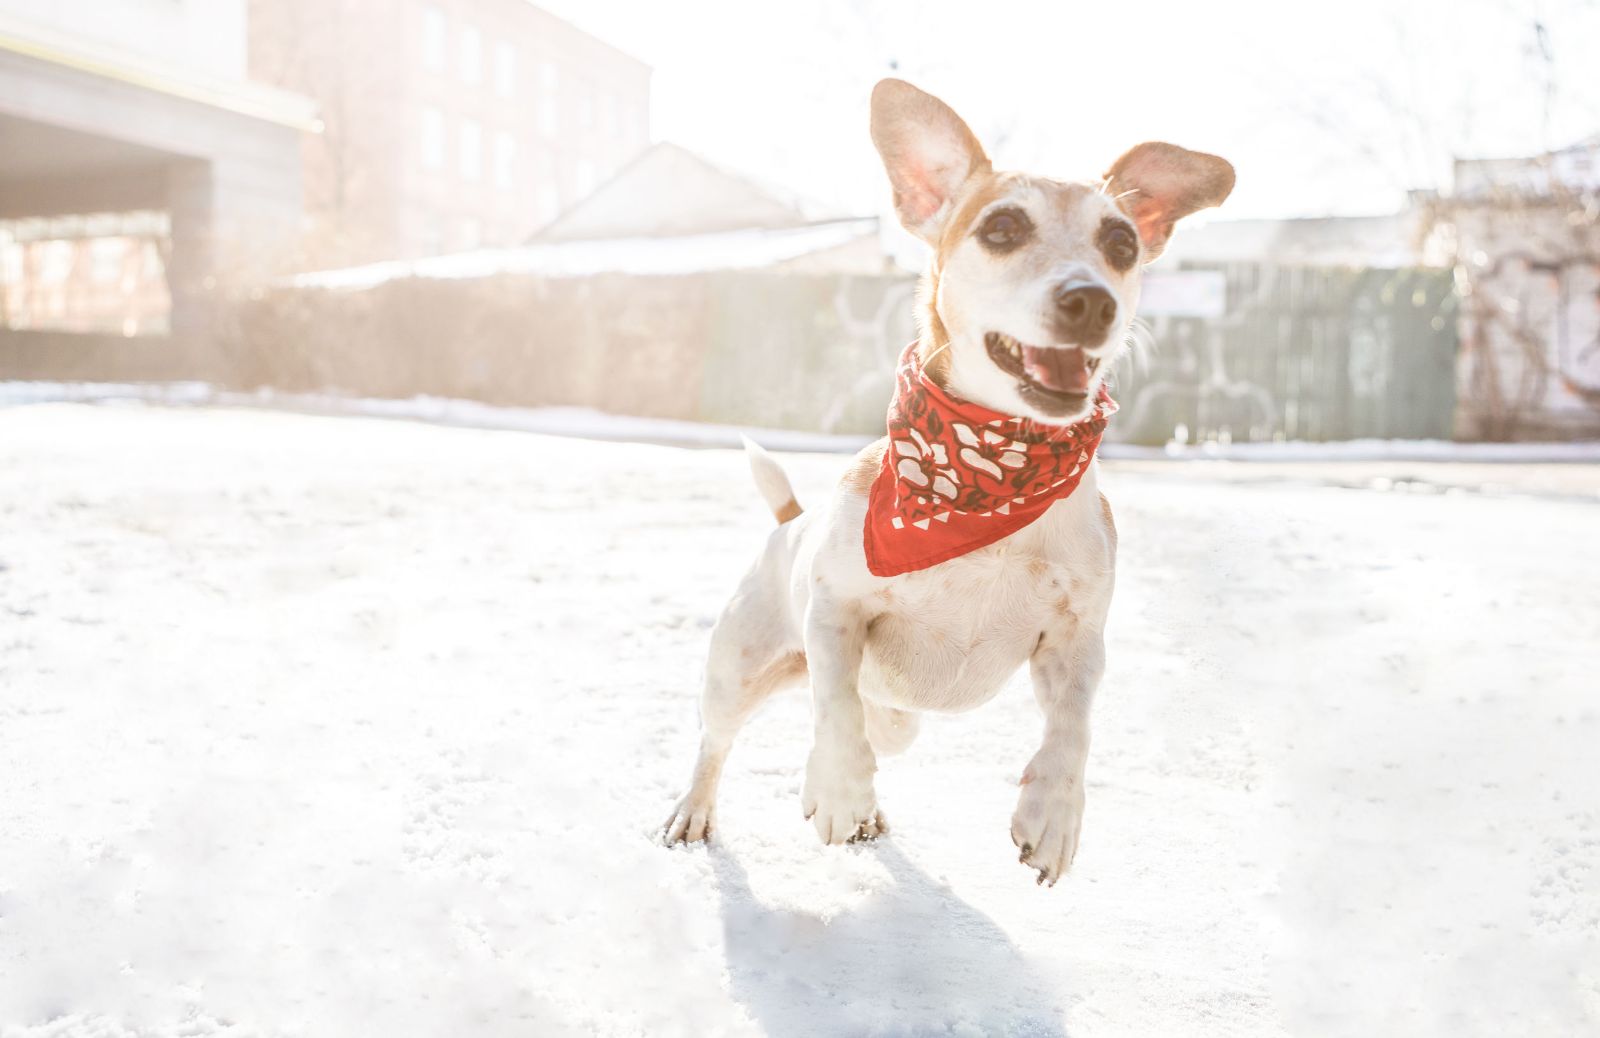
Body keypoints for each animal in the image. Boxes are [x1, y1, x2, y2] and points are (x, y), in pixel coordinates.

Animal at [662, 78, 1235, 882]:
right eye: (1003, 227)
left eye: (1122, 242)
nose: (1092, 298)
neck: (987, 476)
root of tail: (790, 520)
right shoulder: (835, 610)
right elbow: (834, 704)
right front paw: (837, 788)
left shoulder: (1077, 640)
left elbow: (1073, 727)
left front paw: (1054, 814)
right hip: (736, 669)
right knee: (723, 739)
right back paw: (703, 808)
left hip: (897, 716)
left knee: (880, 727)